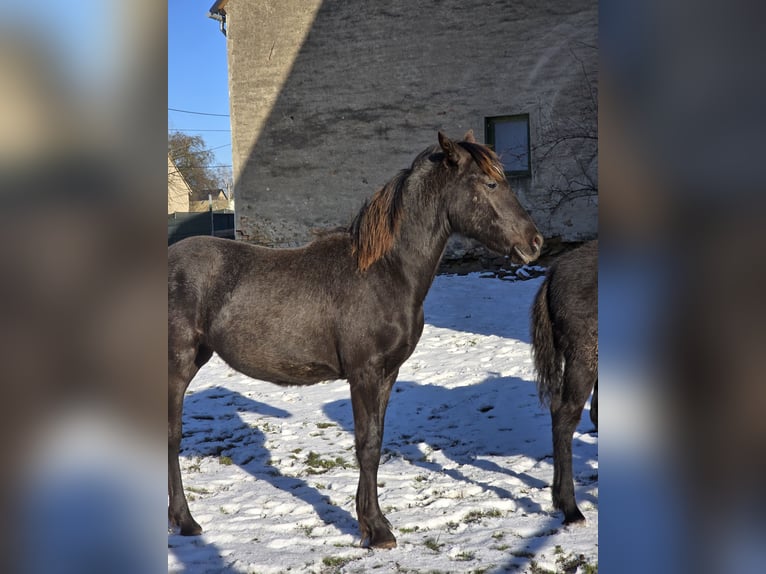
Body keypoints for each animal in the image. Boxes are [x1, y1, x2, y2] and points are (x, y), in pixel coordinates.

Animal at [168, 132, 544, 548]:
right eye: (490, 183)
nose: (535, 242)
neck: (384, 272)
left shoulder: (387, 374)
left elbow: (375, 442)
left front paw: (372, 521)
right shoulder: (364, 373)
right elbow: (366, 445)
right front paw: (376, 531)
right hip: (177, 366)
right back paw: (186, 521)